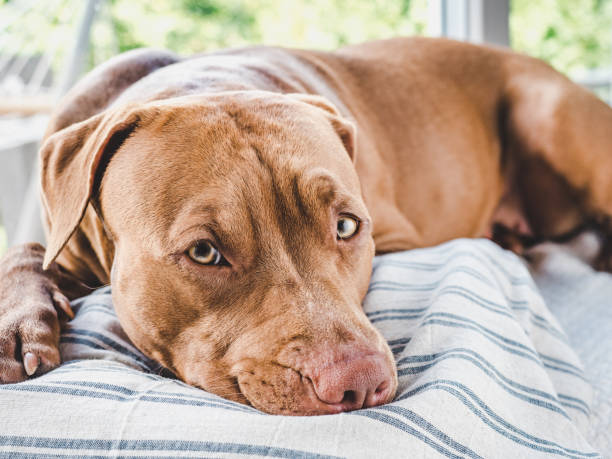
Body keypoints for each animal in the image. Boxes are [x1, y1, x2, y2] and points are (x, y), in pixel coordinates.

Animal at [1, 36, 612, 416]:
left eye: (346, 227)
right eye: (204, 252)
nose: (358, 381)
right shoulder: (66, 243)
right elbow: (25, 250)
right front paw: (19, 323)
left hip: (547, 111)